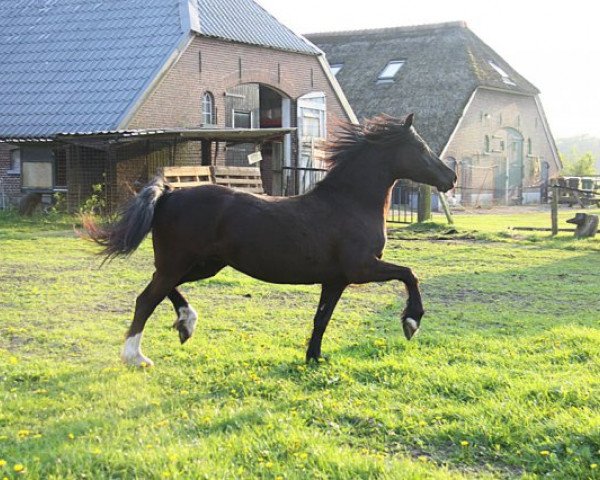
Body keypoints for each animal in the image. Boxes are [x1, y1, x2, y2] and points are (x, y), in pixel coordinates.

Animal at [84, 114, 458, 366]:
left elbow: (321, 318)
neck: (349, 203)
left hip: (205, 265)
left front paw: (314, 358)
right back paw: (136, 356)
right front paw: (411, 322)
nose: (451, 177)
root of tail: (170, 193)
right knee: (147, 298)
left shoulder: (335, 279)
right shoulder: (361, 268)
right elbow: (409, 273)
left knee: (162, 289)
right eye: (421, 147)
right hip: (181, 262)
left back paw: (186, 323)